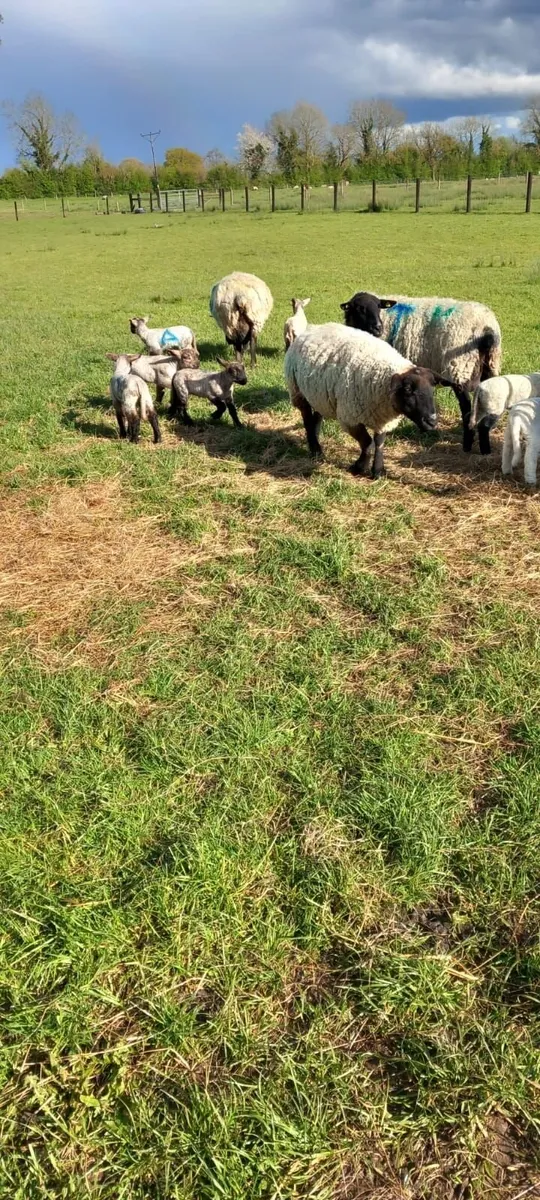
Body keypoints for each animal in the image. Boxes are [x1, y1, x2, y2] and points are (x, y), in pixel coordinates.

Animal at [284, 323, 454, 478]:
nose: (432, 421)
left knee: (317, 416)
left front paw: (378, 470)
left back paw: (316, 441)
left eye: (432, 389)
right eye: (407, 389)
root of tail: (312, 329)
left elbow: (379, 442)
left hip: (319, 394)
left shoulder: (383, 419)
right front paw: (359, 467)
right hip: (297, 391)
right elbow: (367, 443)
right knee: (307, 419)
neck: (381, 379)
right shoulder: (350, 418)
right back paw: (315, 449)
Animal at [340, 291, 502, 454]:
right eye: (360, 308)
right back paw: (484, 446)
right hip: (488, 368)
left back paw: (467, 445)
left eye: (379, 306)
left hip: (460, 369)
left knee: (467, 411)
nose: (378, 328)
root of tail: (486, 329)